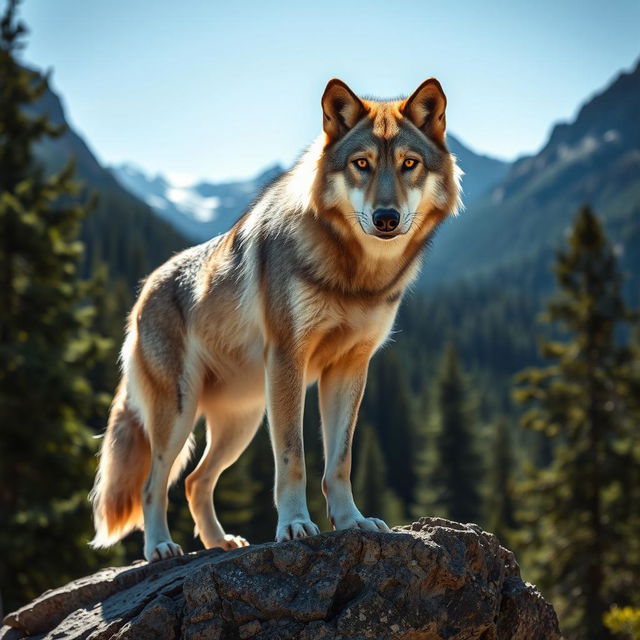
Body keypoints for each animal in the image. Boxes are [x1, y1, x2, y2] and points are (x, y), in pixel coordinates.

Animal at [90, 77, 460, 564]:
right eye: (361, 164)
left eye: (409, 164)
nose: (386, 218)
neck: (355, 277)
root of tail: (143, 290)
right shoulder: (288, 360)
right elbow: (293, 459)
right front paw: (295, 526)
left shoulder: (350, 368)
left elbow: (340, 461)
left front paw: (352, 522)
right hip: (181, 414)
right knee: (155, 484)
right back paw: (161, 548)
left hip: (242, 422)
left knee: (193, 481)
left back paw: (219, 543)